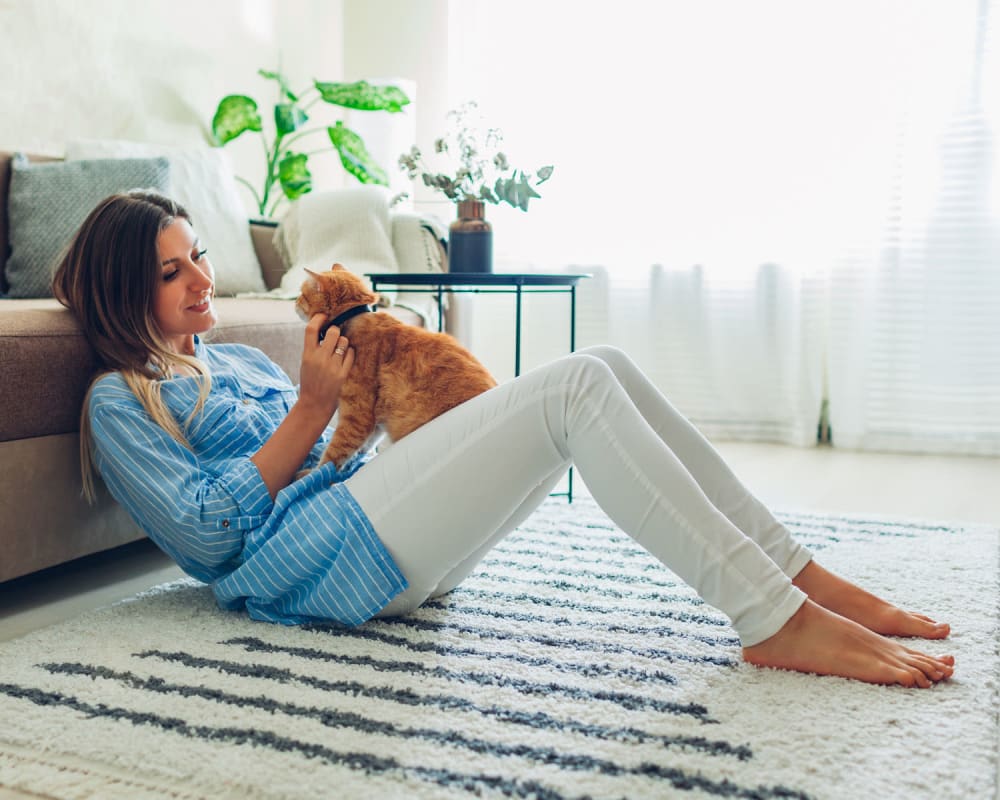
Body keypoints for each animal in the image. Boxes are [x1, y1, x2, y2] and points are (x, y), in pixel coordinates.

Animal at [296, 266, 500, 472]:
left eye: (302, 295)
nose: (295, 302)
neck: (352, 319)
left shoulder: (357, 416)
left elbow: (332, 455)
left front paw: (312, 473)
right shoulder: (375, 419)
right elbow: (368, 442)